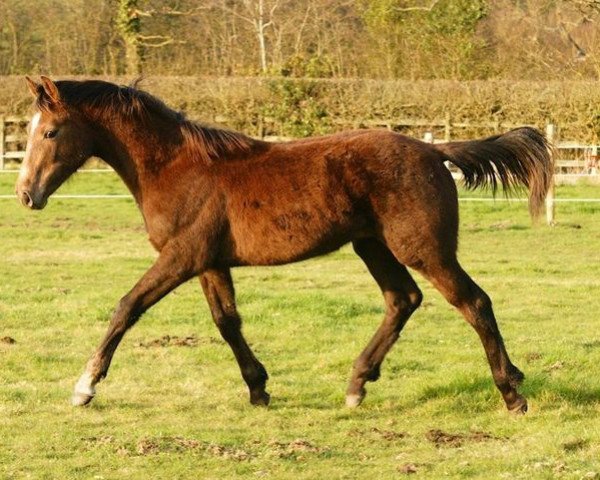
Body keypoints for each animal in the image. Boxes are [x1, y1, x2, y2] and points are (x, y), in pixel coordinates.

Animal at [16, 76, 552, 412]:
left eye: (51, 131)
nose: (26, 194)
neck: (175, 167)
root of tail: (432, 149)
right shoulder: (209, 262)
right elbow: (227, 322)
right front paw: (259, 390)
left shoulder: (182, 257)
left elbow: (127, 307)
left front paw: (84, 387)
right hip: (372, 246)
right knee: (403, 299)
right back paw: (357, 385)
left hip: (422, 248)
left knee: (473, 301)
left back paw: (512, 394)